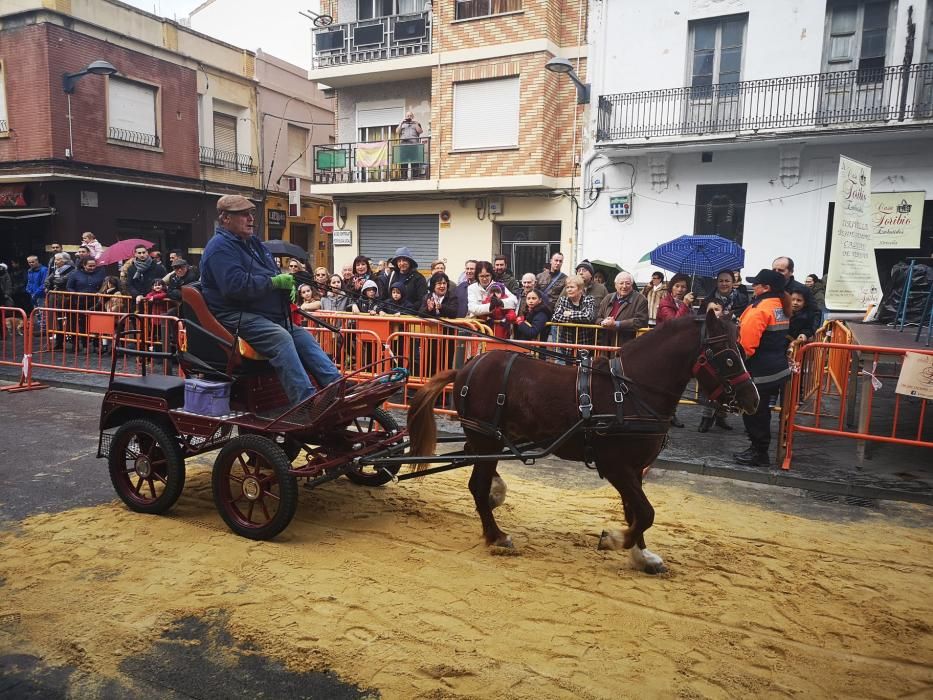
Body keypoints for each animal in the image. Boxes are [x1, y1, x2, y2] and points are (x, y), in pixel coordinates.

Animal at [408, 312, 756, 576]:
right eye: (728, 357)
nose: (753, 399)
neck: (629, 392)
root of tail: (466, 368)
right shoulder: (616, 466)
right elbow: (645, 513)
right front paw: (615, 539)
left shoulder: (632, 469)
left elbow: (635, 511)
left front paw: (642, 556)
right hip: (485, 439)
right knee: (477, 487)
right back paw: (497, 535)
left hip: (487, 441)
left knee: (480, 479)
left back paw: (496, 499)